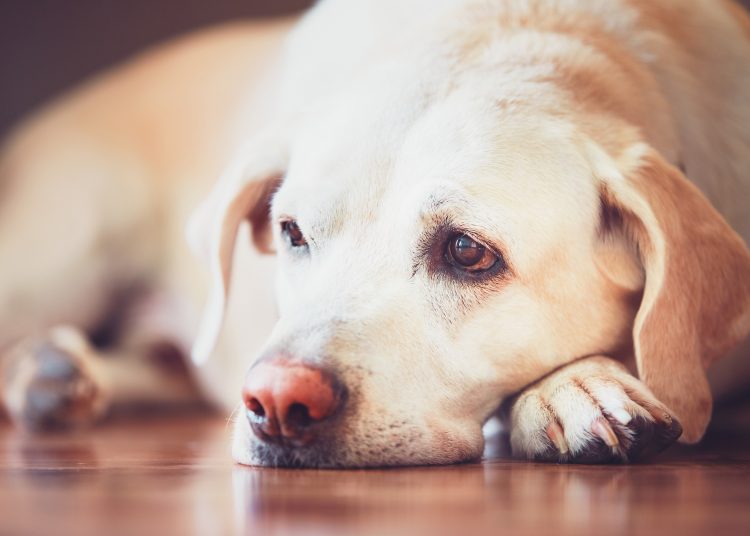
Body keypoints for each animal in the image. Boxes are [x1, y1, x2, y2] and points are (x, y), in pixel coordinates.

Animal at [1, 0, 750, 466]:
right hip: (61, 258)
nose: (277, 402)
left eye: (467, 251)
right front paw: (573, 388)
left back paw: (60, 375)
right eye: (292, 231)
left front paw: (574, 386)